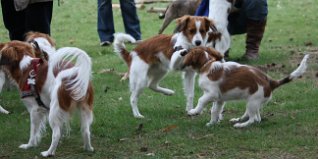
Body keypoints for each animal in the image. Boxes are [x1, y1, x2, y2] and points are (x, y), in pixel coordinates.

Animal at [170, 47, 310, 128]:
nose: (181, 52)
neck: (207, 65)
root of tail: (270, 82)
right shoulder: (219, 99)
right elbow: (214, 111)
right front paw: (212, 123)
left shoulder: (211, 94)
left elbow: (201, 101)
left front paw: (194, 111)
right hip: (253, 102)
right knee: (256, 118)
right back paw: (238, 119)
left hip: (252, 101)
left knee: (253, 119)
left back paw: (240, 125)